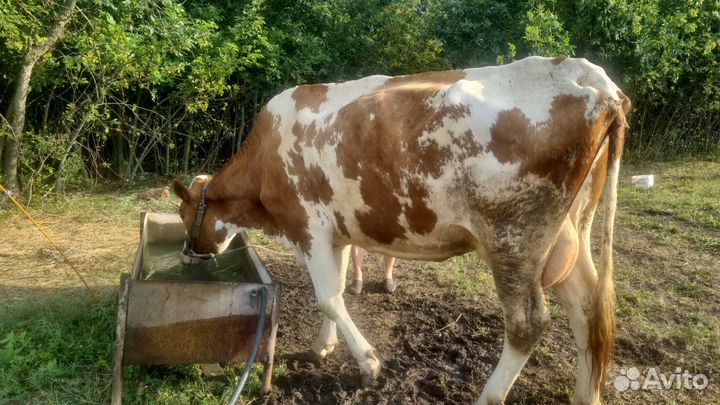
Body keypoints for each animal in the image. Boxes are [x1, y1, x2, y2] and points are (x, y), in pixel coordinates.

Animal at [172, 56, 631, 405]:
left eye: (181, 213)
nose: (185, 255)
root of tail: (591, 77)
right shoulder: (335, 232)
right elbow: (338, 288)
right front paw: (324, 346)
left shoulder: (308, 225)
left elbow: (328, 298)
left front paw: (368, 363)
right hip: (569, 234)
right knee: (586, 309)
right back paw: (585, 395)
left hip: (514, 236)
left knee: (527, 324)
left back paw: (488, 395)